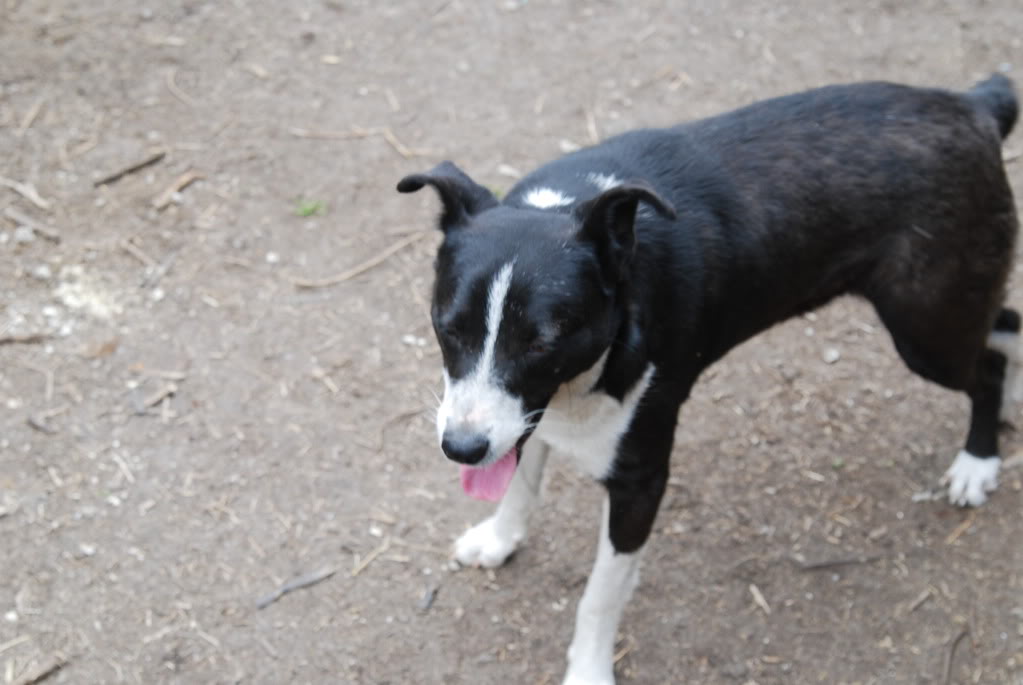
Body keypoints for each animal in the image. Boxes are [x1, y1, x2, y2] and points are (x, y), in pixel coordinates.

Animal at [396, 75, 1014, 685]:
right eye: (447, 327)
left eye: (542, 341)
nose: (460, 448)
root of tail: (975, 104)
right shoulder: (520, 415)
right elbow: (519, 480)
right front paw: (500, 538)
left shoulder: (639, 482)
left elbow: (599, 597)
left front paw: (588, 670)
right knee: (1007, 323)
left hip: (927, 330)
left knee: (988, 364)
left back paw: (978, 462)